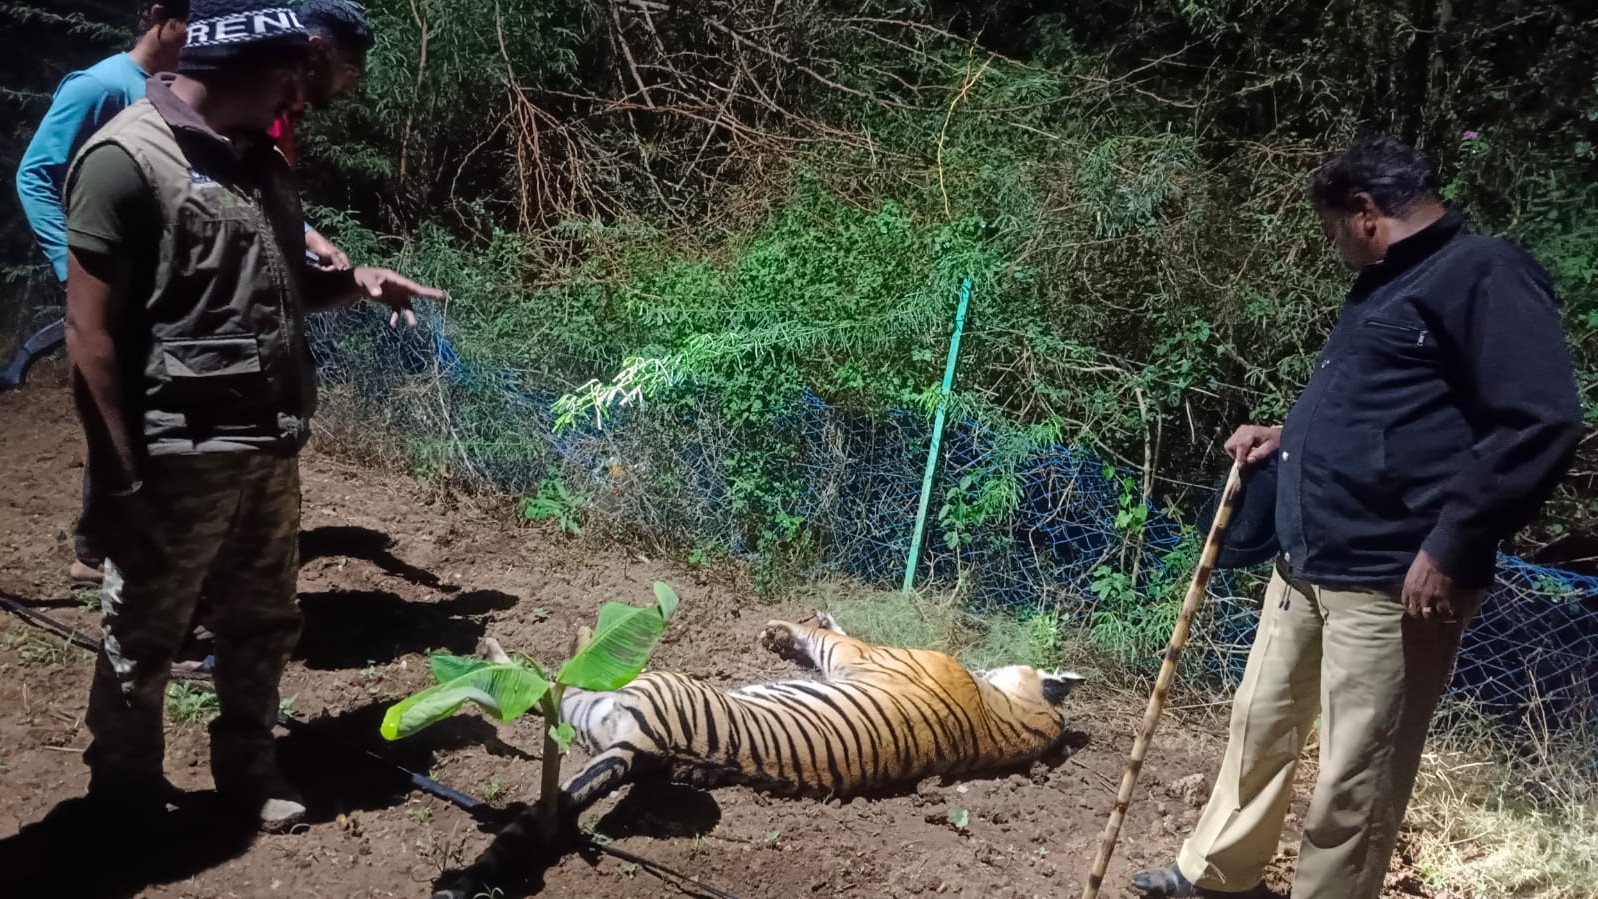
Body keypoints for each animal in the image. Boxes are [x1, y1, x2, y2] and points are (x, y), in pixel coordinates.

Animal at [432, 611, 1084, 899]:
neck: (1008, 721)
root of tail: (647, 750)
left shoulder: (860, 653)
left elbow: (827, 634)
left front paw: (786, 628)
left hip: (612, 692)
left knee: (538, 685)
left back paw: (501, 646)